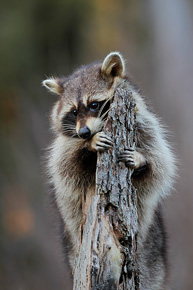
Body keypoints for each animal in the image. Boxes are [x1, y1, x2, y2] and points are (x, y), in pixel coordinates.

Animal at [43, 52, 176, 290]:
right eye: (73, 112)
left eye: (94, 104)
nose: (84, 133)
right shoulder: (64, 145)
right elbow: (65, 166)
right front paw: (89, 145)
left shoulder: (146, 125)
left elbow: (161, 165)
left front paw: (141, 161)